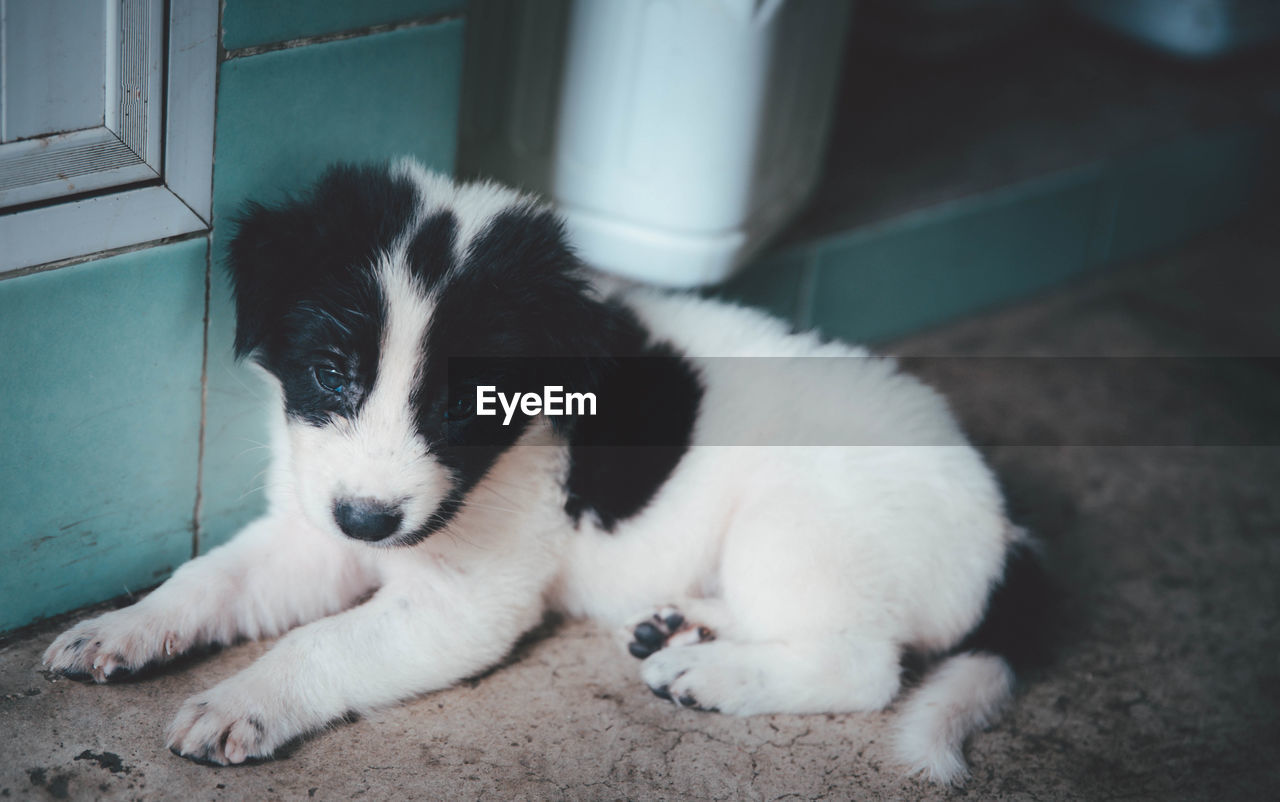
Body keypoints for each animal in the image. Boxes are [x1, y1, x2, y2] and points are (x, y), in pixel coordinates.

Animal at [45, 156, 1044, 782]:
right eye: (331, 373)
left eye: (464, 403)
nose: (370, 524)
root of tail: (1006, 535)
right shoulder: (315, 527)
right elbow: (210, 579)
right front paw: (122, 629)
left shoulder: (463, 601)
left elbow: (321, 641)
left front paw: (243, 702)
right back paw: (685, 628)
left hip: (799, 521)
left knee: (867, 665)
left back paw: (715, 675)